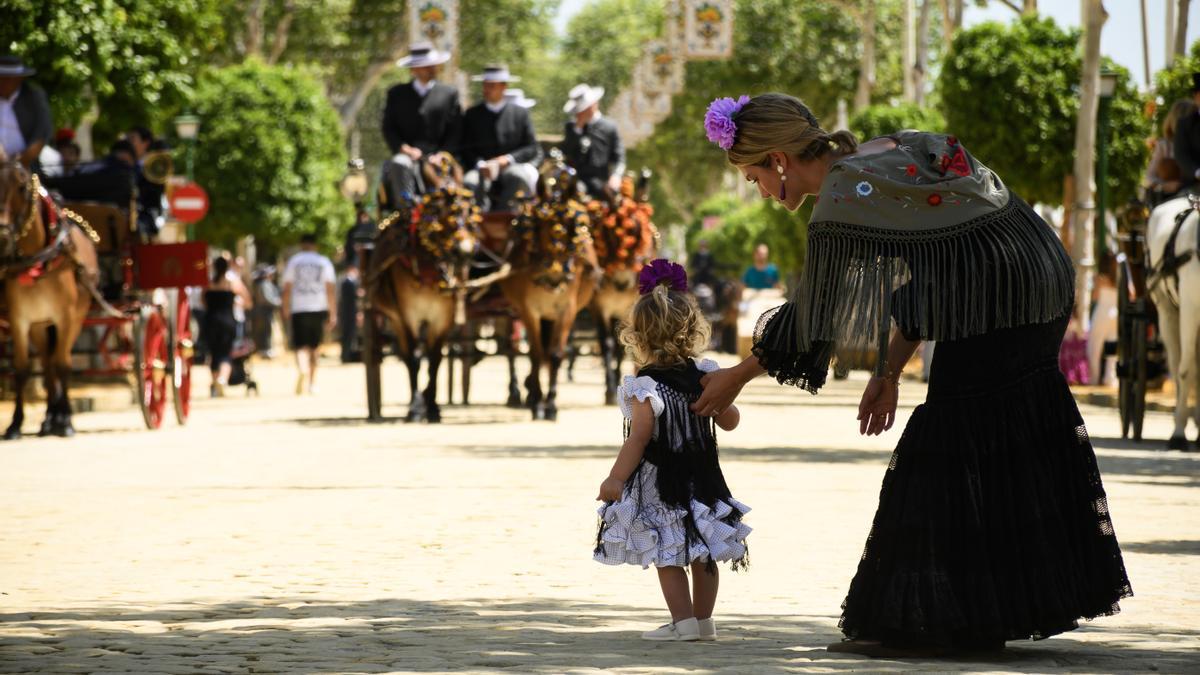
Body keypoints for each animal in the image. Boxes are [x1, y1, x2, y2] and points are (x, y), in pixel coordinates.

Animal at [0, 149, 97, 437]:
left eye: (22, 187)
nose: (2, 236)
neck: (39, 260)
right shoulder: (20, 319)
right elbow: (21, 369)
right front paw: (15, 423)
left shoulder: (66, 317)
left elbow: (64, 365)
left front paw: (66, 421)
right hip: (40, 325)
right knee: (47, 363)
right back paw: (47, 419)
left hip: (76, 318)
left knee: (59, 361)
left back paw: (58, 417)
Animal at [367, 152, 480, 420]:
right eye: (438, 211)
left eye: (469, 210)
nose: (464, 251)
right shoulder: (408, 315)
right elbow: (414, 359)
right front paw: (416, 406)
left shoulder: (443, 317)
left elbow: (435, 358)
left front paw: (433, 406)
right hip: (394, 317)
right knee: (406, 353)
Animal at [496, 159, 595, 417]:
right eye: (539, 226)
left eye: (572, 229)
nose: (555, 275)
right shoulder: (530, 310)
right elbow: (537, 353)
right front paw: (538, 402)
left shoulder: (567, 309)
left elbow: (556, 354)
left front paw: (550, 403)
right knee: (514, 348)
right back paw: (522, 392)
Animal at [588, 168, 657, 401]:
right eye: (608, 235)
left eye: (641, 238)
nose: (622, 282)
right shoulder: (599, 308)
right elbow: (607, 343)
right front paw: (609, 388)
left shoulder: (627, 310)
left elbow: (621, 345)